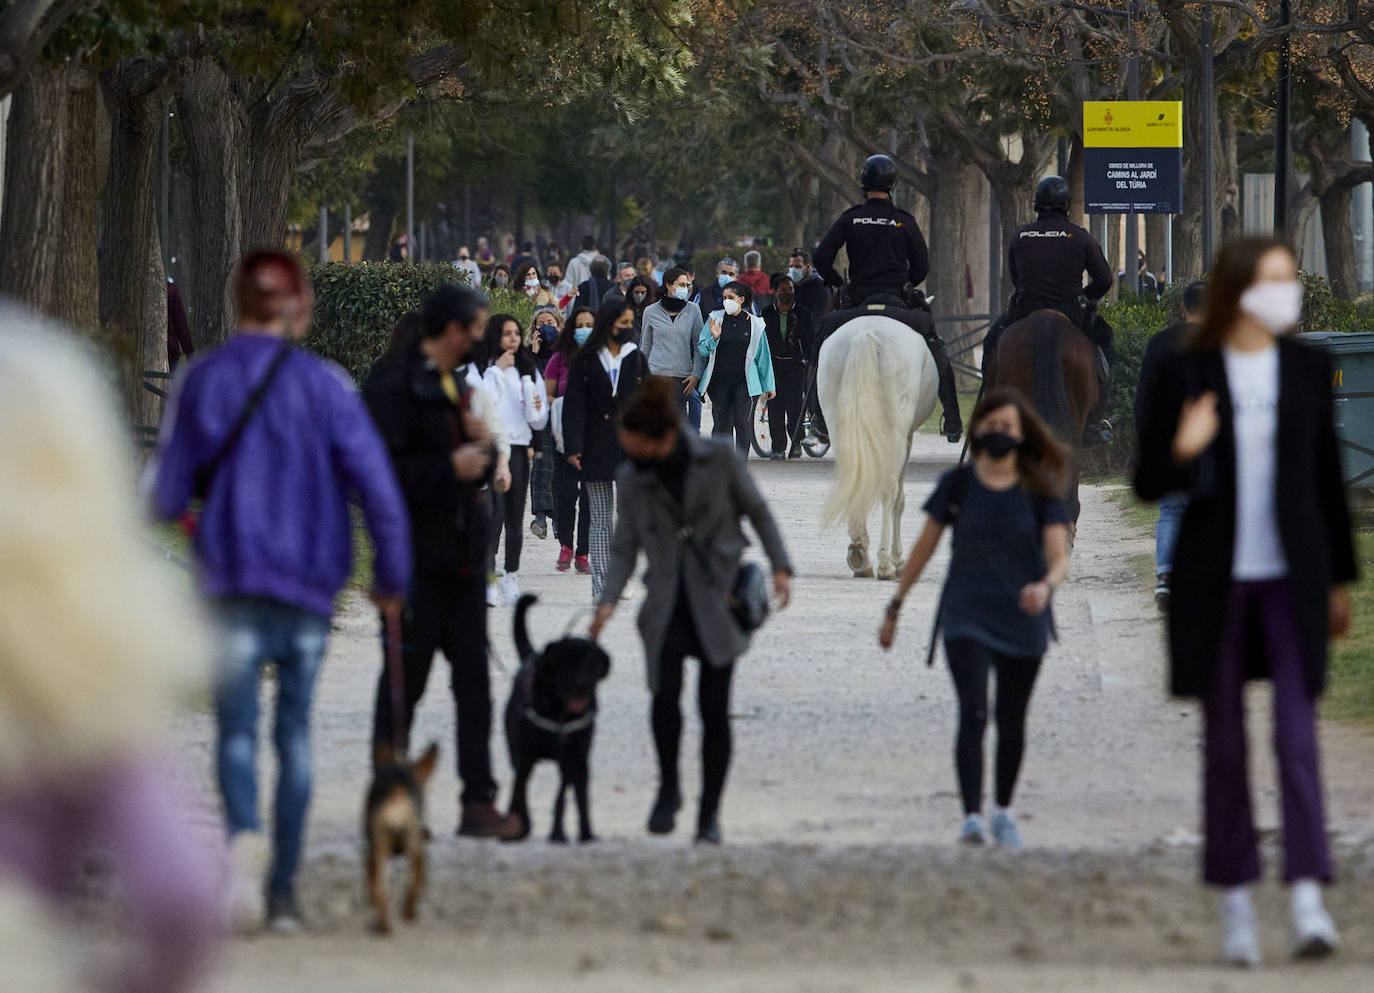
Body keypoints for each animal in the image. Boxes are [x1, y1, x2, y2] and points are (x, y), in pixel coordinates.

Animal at [362, 741, 436, 933]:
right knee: (410, 885)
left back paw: (383, 925)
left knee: (380, 889)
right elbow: (419, 882)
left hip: (379, 848)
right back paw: (407, 913)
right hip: (413, 848)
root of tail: (397, 796)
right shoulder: (421, 851)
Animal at [505, 598, 612, 846]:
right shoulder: (524, 758)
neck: (560, 716)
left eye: (592, 663)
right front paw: (518, 829)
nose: (582, 686)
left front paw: (576, 834)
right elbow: (519, 792)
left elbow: (571, 799)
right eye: (564, 663)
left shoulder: (575, 760)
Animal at [818, 318, 939, 579]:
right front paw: (898, 558)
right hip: (895, 435)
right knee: (888, 491)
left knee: (853, 477)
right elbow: (899, 500)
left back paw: (859, 553)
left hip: (839, 427)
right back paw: (885, 563)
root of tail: (863, 335)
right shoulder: (907, 439)